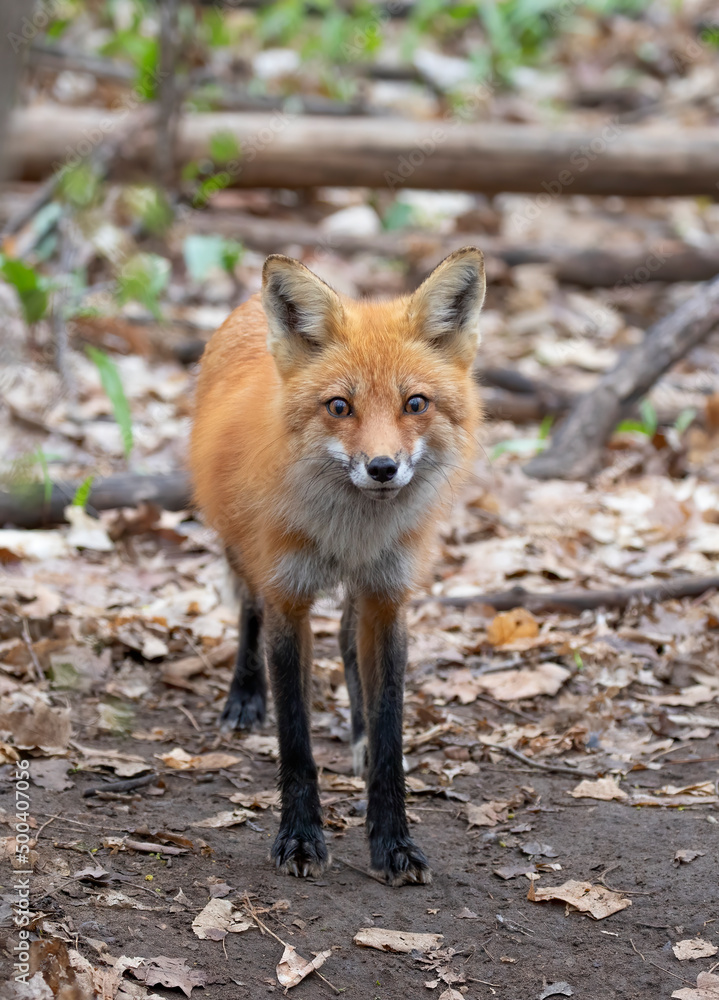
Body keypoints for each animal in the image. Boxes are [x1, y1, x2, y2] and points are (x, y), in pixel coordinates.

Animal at [189, 246, 485, 886]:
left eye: (414, 404)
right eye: (340, 407)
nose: (382, 467)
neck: (349, 534)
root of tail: (247, 306)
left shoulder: (388, 596)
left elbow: (391, 730)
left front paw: (394, 840)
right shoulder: (288, 595)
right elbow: (296, 741)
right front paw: (300, 838)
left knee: (349, 639)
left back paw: (358, 738)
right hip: (239, 548)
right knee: (246, 610)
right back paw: (244, 696)